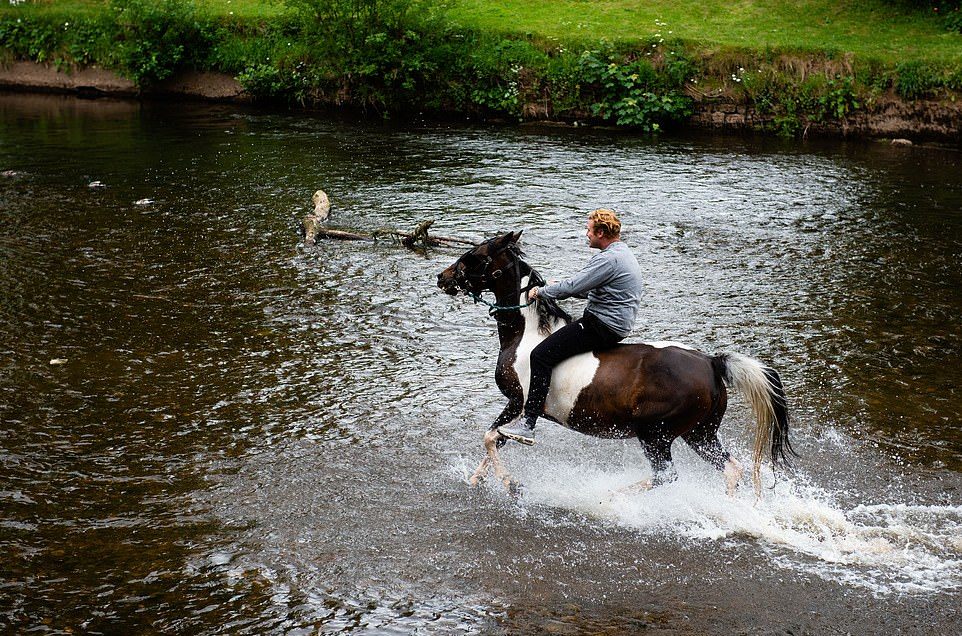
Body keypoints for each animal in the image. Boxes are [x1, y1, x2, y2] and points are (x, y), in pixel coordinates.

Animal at [438, 232, 792, 496]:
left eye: (474, 255)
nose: (442, 277)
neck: (527, 335)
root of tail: (711, 362)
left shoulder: (519, 402)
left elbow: (492, 437)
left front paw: (512, 485)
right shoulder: (516, 405)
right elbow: (494, 439)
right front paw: (479, 479)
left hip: (656, 435)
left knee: (666, 475)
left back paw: (608, 499)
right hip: (699, 433)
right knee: (730, 469)